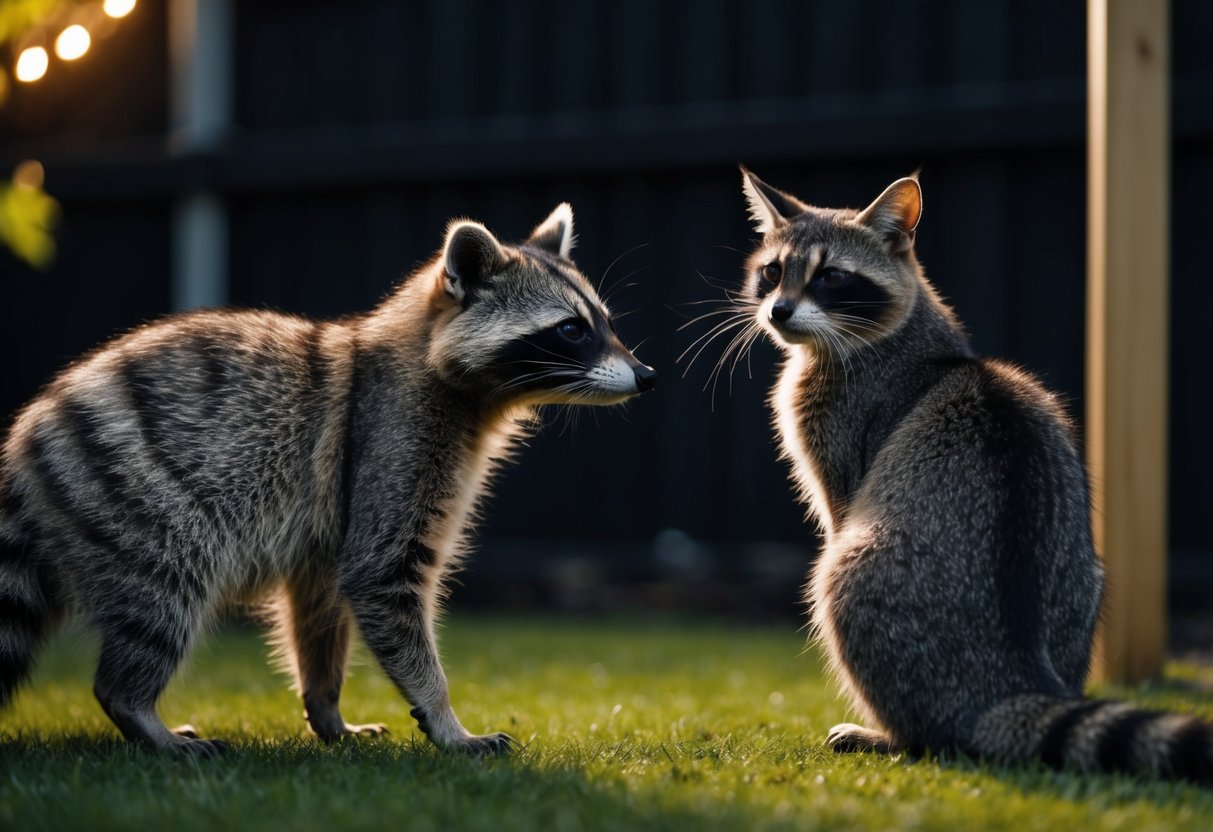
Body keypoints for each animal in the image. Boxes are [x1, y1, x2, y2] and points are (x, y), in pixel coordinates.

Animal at [0, 203, 656, 756]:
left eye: (604, 322)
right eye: (571, 329)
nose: (647, 375)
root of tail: (27, 445)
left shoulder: (329, 522)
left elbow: (321, 604)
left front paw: (326, 708)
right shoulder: (391, 445)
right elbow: (379, 577)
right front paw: (446, 718)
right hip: (134, 494)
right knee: (165, 588)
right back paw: (136, 708)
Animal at [735, 168, 1213, 783]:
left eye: (831, 277)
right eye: (773, 273)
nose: (779, 312)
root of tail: (1012, 679)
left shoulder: (845, 437)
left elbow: (840, 509)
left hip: (860, 577)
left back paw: (894, 736)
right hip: (1083, 575)